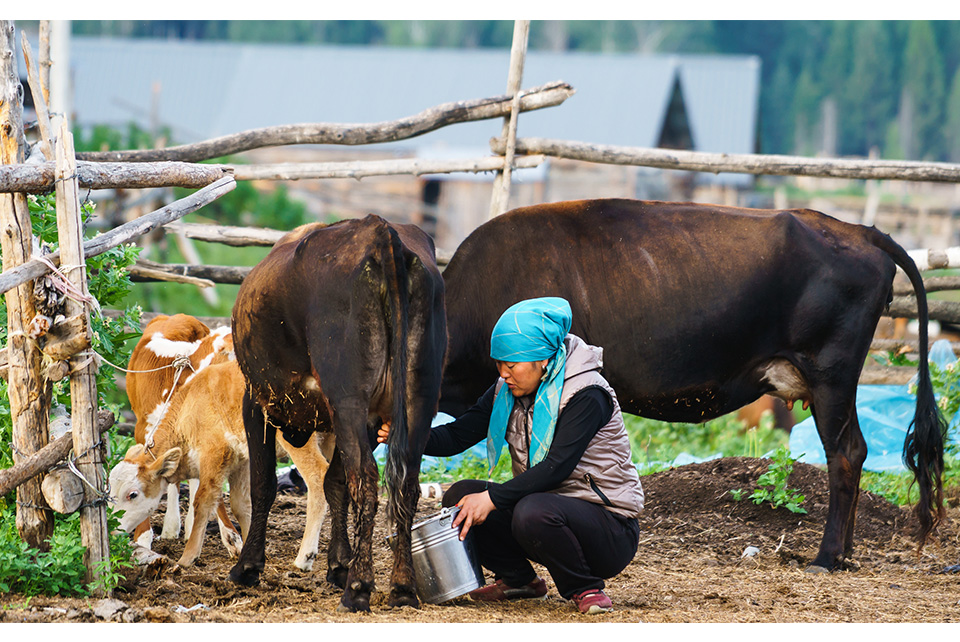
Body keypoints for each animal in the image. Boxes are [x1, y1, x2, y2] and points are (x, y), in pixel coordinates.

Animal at [109, 358, 332, 568]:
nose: (112, 530)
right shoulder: (243, 459)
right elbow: (241, 504)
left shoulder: (213, 454)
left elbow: (202, 501)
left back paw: (305, 557)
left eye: (132, 494)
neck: (189, 407)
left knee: (318, 478)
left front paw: (187, 558)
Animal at [228, 214, 446, 608]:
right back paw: (402, 587)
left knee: (367, 480)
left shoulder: (256, 402)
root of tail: (379, 230)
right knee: (405, 485)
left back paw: (359, 587)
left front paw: (248, 566)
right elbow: (335, 483)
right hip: (418, 400)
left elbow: (263, 484)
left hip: (348, 401)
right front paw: (339, 563)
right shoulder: (369, 421)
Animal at [438, 198, 948, 568]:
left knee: (845, 452)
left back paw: (827, 557)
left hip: (831, 375)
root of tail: (856, 231)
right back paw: (844, 553)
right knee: (855, 451)